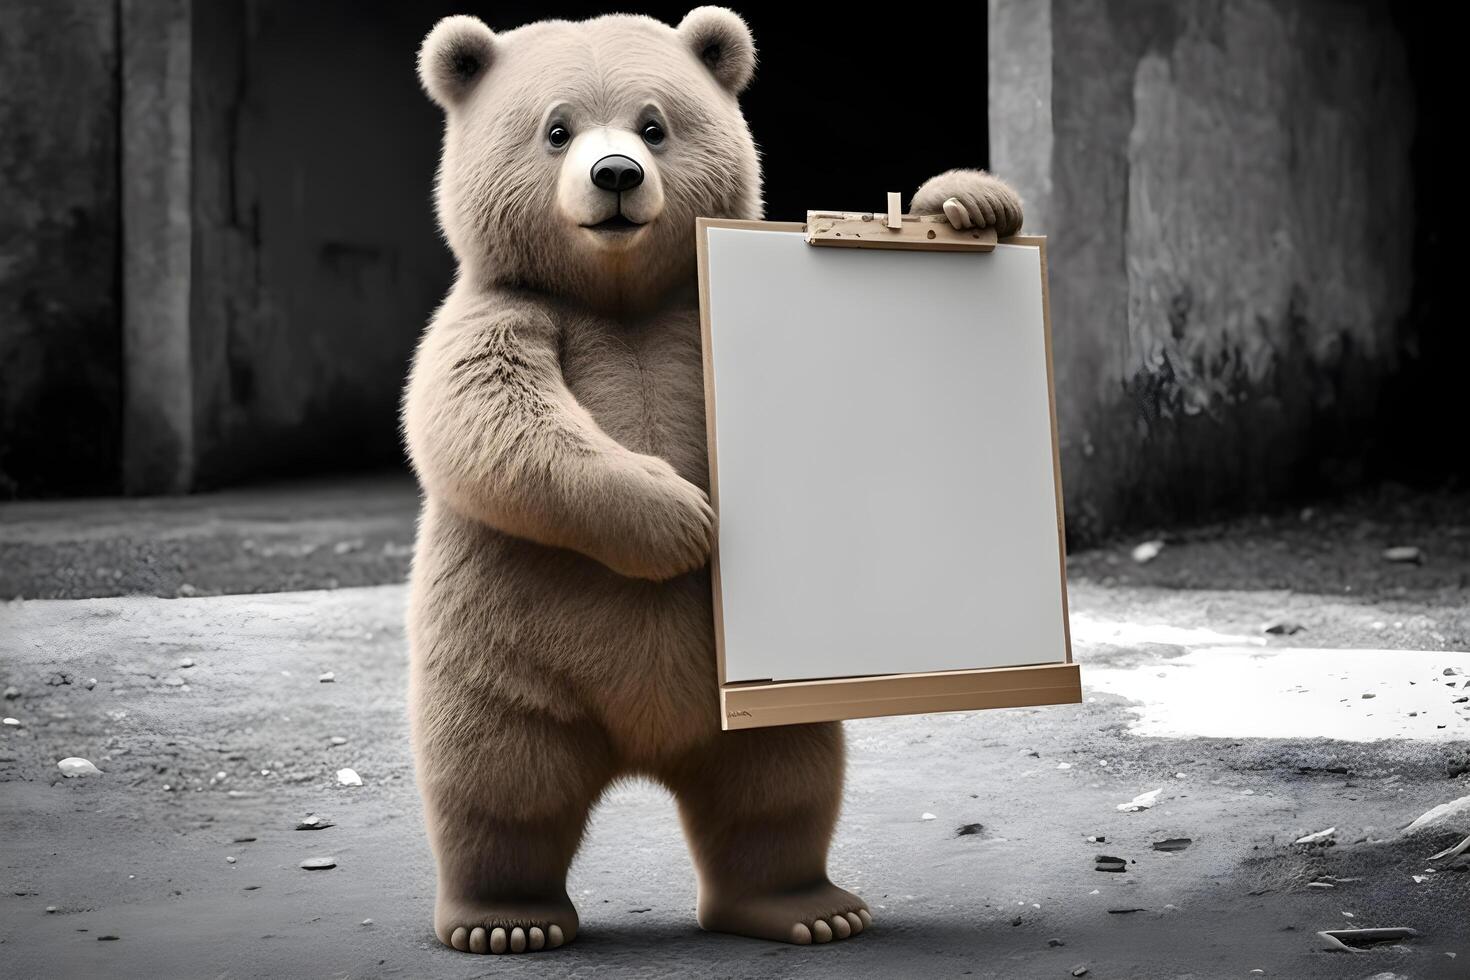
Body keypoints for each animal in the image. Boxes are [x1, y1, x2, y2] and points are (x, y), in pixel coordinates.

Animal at [402, 9, 1023, 957]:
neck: (620, 295)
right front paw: (681, 521)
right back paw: (505, 919)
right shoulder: (507, 312)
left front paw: (965, 201)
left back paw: (807, 905)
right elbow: (490, 416)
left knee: (780, 783)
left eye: (655, 125)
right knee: (501, 775)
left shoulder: (688, 310)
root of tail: (644, 748)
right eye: (557, 129)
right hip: (506, 645)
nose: (617, 175)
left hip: (756, 697)